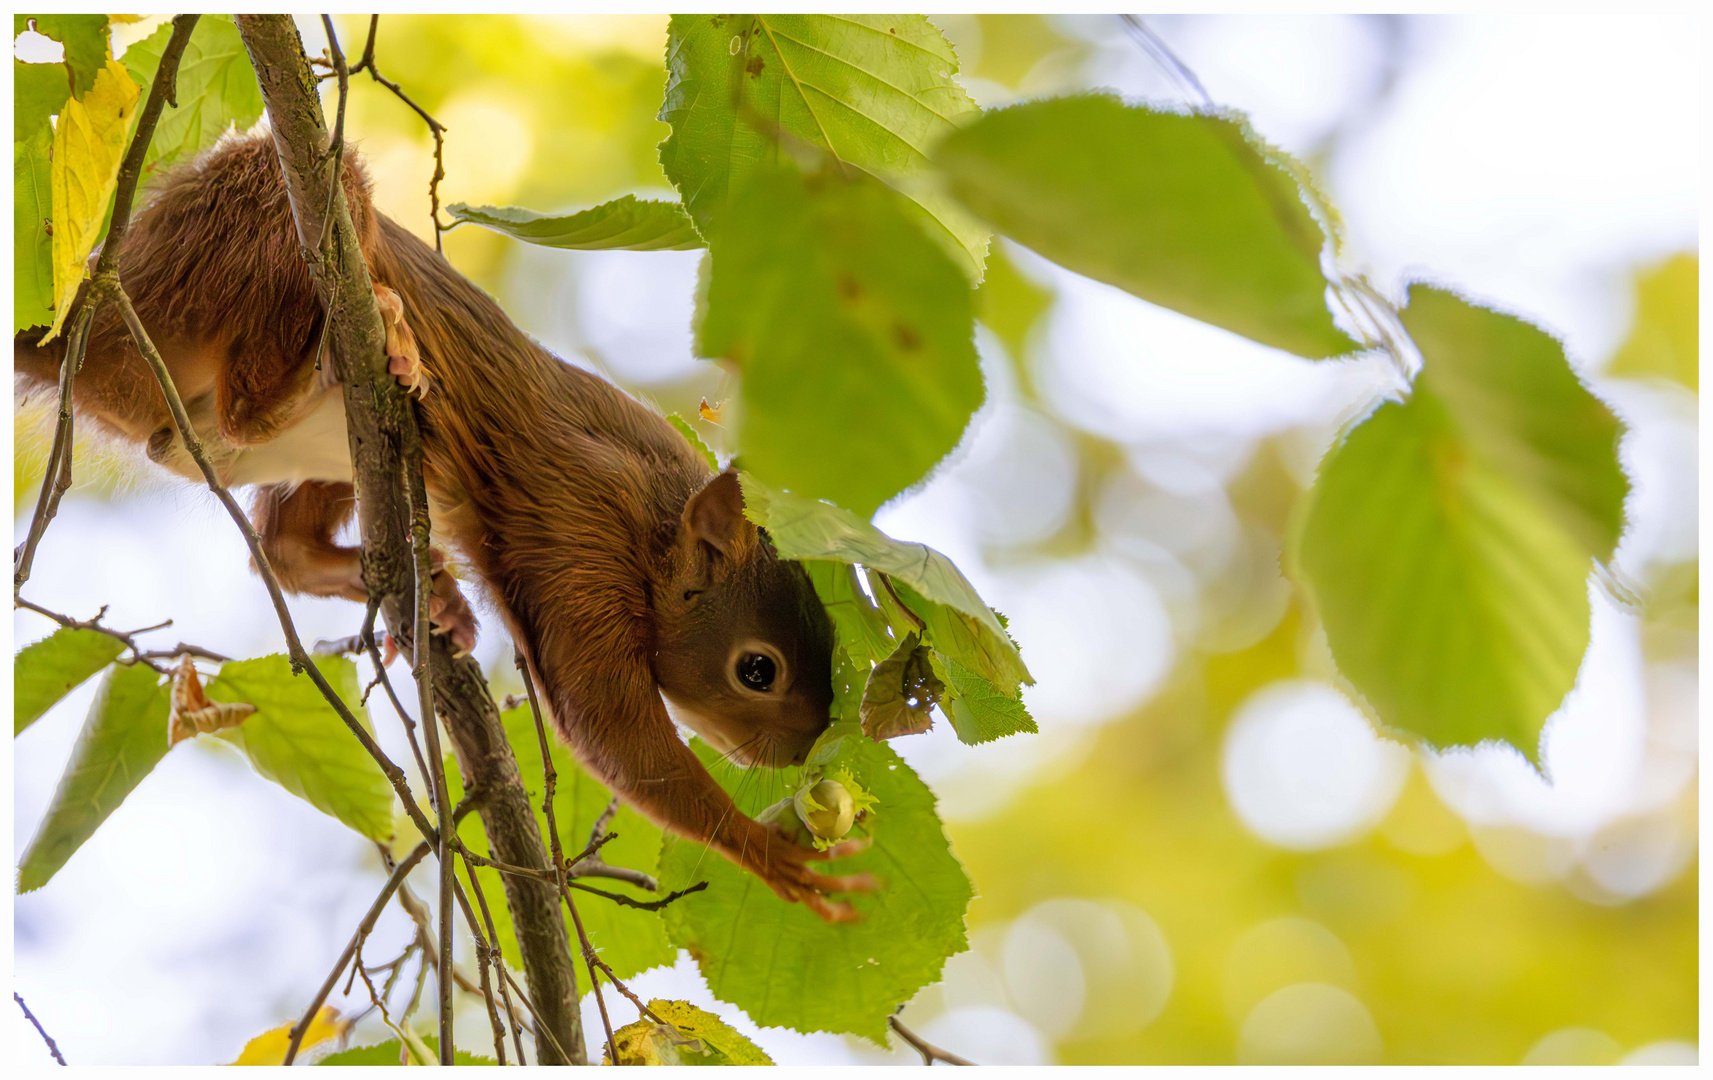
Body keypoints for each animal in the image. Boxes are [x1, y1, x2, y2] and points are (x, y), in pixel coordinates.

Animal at [13, 126, 870, 925]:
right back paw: (340, 359)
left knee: (277, 546)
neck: (656, 524)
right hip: (240, 239)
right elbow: (607, 729)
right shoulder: (581, 538)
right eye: (757, 670)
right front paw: (768, 854)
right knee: (246, 410)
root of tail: (74, 327)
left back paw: (428, 589)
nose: (803, 747)